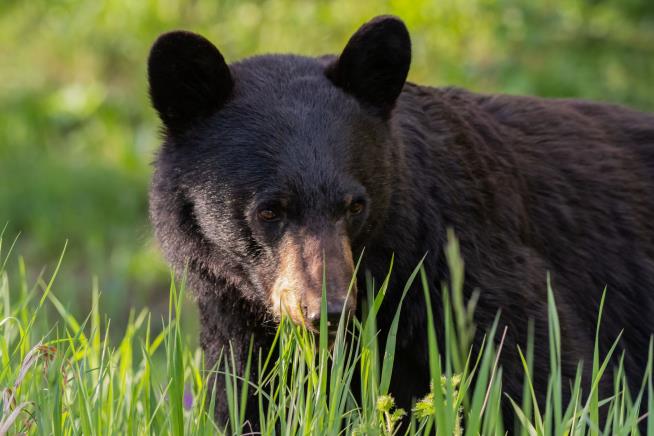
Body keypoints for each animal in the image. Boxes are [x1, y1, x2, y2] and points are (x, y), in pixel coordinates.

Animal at [149, 14, 654, 430]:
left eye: (355, 205)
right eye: (270, 210)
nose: (328, 312)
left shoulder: (469, 268)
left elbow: (551, 379)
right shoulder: (235, 314)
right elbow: (248, 399)